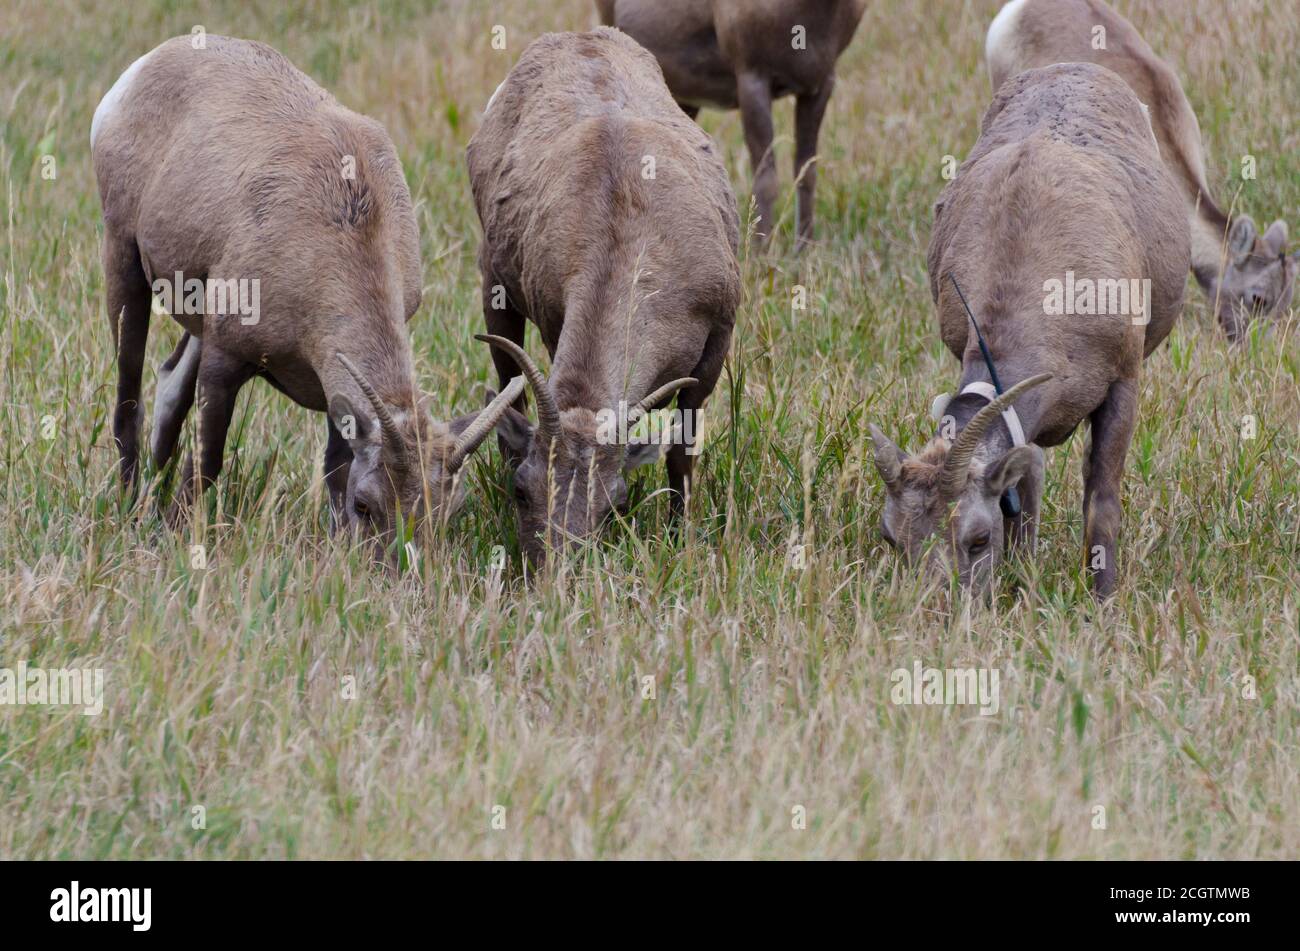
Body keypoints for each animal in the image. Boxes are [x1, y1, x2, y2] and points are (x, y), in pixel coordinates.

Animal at [470, 27, 743, 563]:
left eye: (614, 502)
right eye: (522, 490)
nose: (554, 570)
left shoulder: (714, 348)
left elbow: (681, 452)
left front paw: (680, 539)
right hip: (495, 287)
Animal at [873, 61, 1190, 595]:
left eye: (978, 539)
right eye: (892, 539)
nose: (934, 611)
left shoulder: (1123, 385)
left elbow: (1102, 501)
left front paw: (1104, 598)